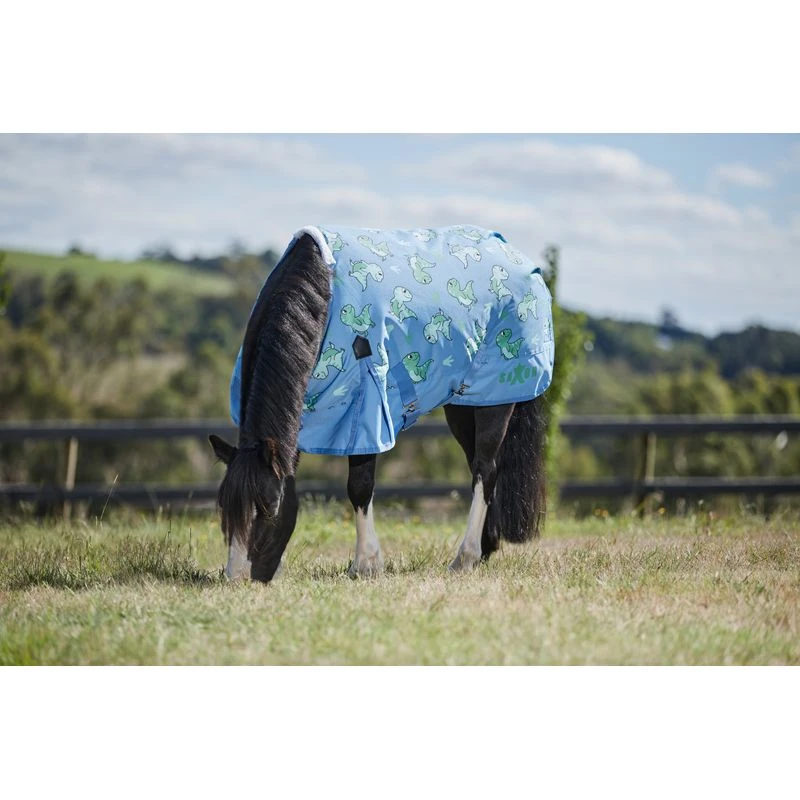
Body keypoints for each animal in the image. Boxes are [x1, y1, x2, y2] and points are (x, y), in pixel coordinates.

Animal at [209, 225, 554, 582]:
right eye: (226, 512)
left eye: (270, 508)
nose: (236, 578)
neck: (324, 297)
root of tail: (515, 254)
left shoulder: (366, 409)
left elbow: (359, 487)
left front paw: (365, 564)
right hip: (463, 403)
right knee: (481, 466)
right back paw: (485, 550)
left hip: (497, 399)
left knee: (485, 468)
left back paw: (465, 556)